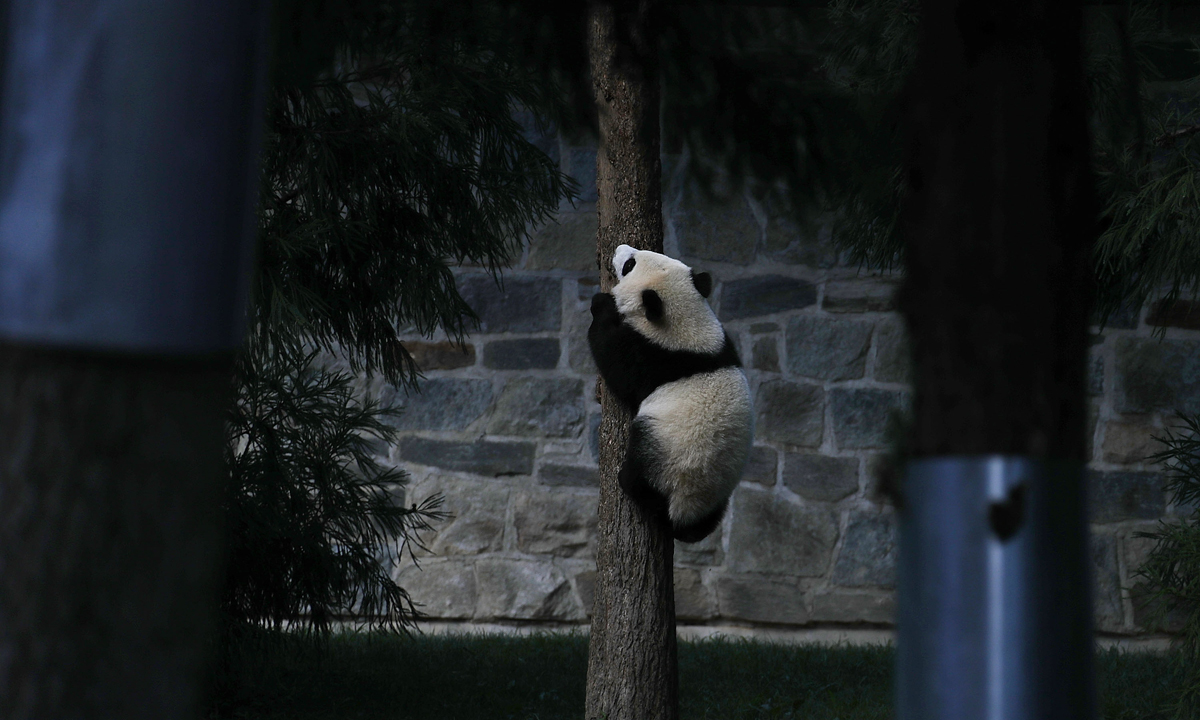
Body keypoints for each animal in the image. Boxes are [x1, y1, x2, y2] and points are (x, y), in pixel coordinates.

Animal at [588, 244, 753, 543]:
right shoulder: (723, 342)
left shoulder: (652, 357)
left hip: (665, 454)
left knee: (643, 472)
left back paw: (629, 481)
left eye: (630, 265)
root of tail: (686, 511)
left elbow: (616, 361)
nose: (619, 249)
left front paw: (602, 304)